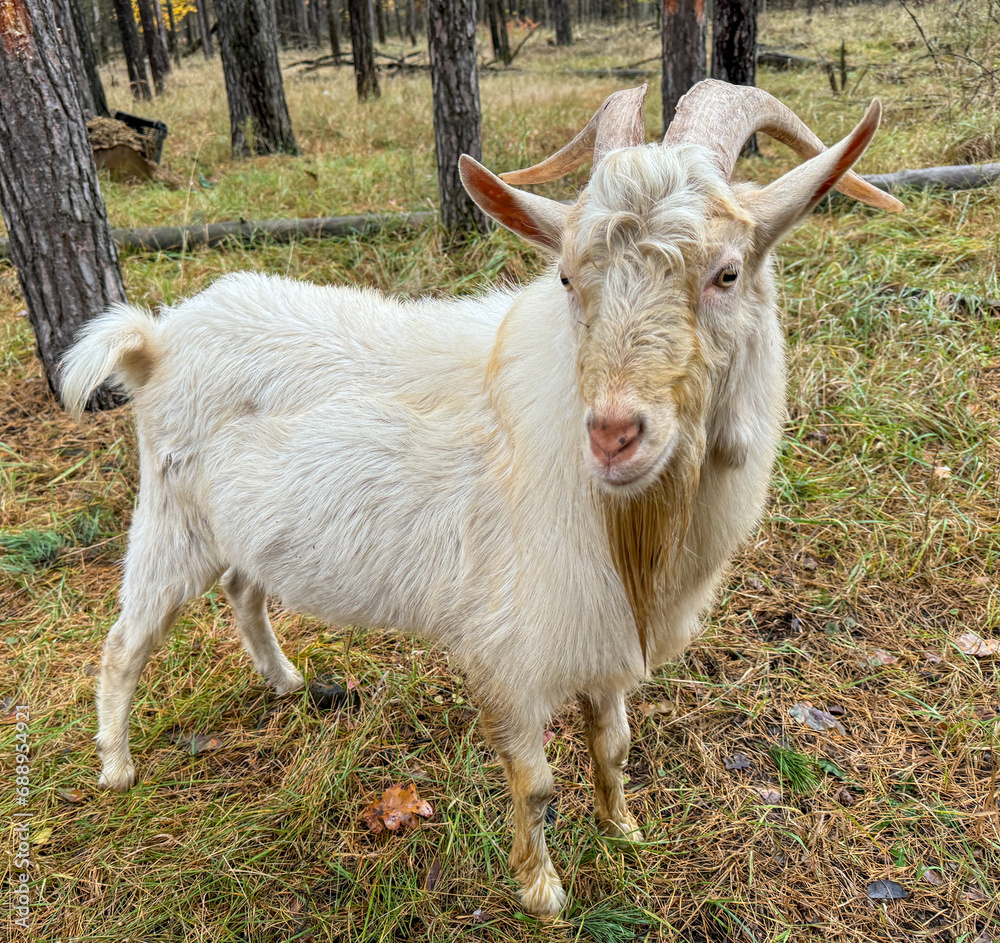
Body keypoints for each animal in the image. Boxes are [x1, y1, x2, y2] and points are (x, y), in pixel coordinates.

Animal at [61, 80, 901, 916]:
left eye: (726, 273)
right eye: (566, 278)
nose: (613, 434)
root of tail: (158, 339)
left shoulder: (602, 633)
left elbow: (613, 744)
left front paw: (624, 832)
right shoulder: (508, 650)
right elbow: (535, 784)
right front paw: (543, 891)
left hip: (240, 529)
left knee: (243, 589)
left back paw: (288, 681)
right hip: (172, 521)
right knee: (124, 641)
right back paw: (116, 767)